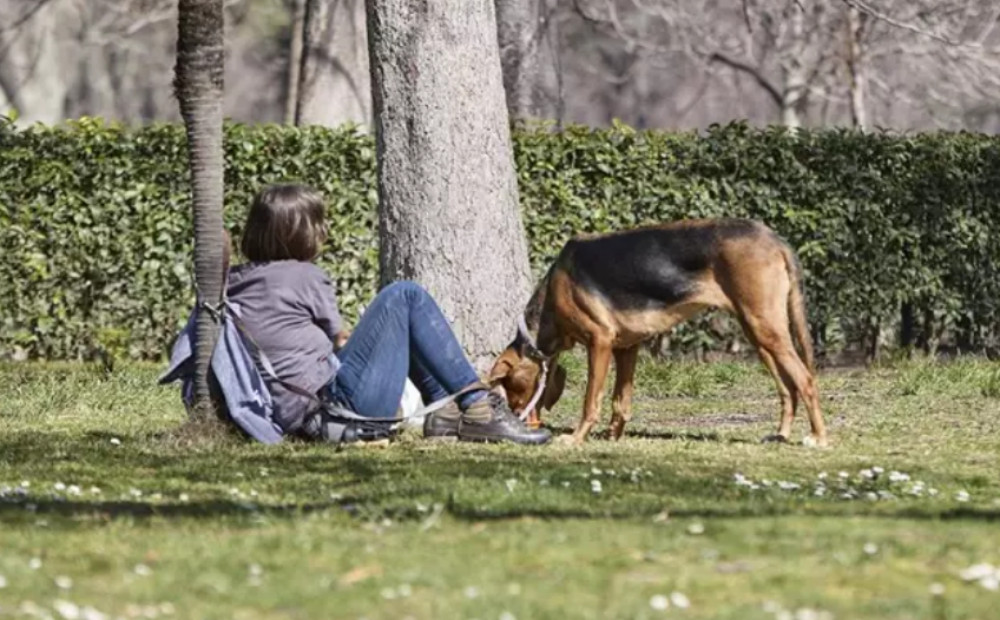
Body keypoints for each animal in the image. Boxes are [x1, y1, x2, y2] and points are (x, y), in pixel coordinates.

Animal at [486, 218, 828, 446]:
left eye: (510, 386)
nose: (516, 416)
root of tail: (774, 238)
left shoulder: (600, 342)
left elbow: (591, 400)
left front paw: (576, 438)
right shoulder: (626, 348)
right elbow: (620, 400)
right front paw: (613, 435)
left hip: (765, 327)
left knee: (805, 380)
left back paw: (818, 437)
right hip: (759, 334)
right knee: (788, 388)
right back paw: (781, 435)